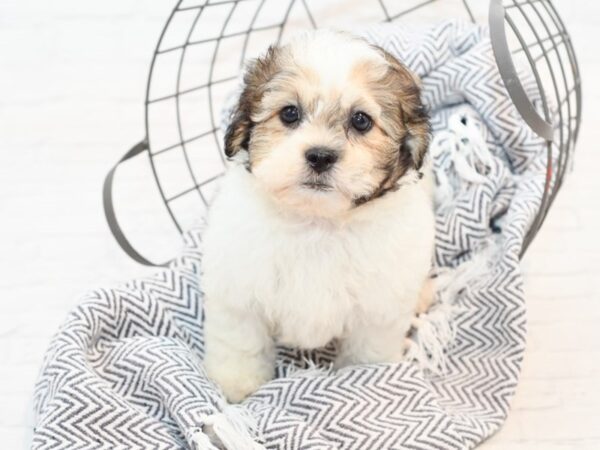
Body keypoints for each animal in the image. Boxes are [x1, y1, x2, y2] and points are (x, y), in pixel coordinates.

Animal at [203, 31, 436, 404]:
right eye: (289, 113)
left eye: (361, 120)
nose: (320, 156)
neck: (317, 220)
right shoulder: (239, 293)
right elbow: (241, 343)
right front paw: (237, 385)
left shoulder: (378, 311)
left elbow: (366, 352)